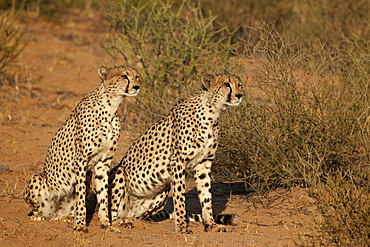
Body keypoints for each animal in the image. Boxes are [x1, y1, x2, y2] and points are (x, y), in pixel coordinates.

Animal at [22, 65, 142, 232]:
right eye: (124, 76)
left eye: (137, 76)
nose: (137, 86)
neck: (111, 106)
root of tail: (55, 212)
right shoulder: (81, 160)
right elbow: (80, 197)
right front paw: (80, 224)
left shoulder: (103, 162)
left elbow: (103, 195)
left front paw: (106, 224)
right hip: (39, 178)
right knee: (39, 211)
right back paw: (39, 216)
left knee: (62, 214)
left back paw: (68, 218)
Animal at [110, 73, 243, 232]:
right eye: (226, 84)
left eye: (239, 84)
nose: (239, 95)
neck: (212, 112)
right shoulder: (178, 161)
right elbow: (180, 195)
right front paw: (181, 227)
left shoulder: (204, 163)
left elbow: (206, 196)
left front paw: (211, 224)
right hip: (119, 172)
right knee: (110, 215)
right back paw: (121, 222)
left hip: (162, 191)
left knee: (138, 217)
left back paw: (133, 220)